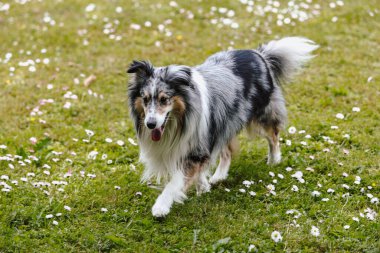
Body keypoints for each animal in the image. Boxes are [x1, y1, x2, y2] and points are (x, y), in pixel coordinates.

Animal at [127, 37, 318, 217]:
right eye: (145, 99)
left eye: (164, 99)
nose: (150, 124)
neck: (180, 120)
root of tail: (259, 54)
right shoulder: (204, 141)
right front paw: (203, 187)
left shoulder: (195, 148)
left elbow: (176, 181)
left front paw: (161, 206)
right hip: (224, 122)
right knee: (227, 151)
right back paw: (219, 176)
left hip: (262, 115)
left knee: (273, 136)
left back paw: (274, 160)